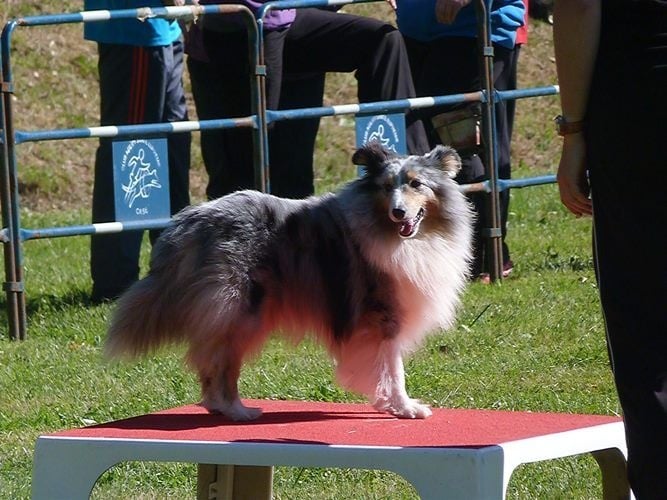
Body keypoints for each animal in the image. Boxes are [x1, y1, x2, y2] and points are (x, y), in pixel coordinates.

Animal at [105, 143, 474, 420]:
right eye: (386, 188)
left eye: (416, 184)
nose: (398, 212)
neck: (402, 236)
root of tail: (187, 222)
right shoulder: (382, 314)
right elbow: (393, 367)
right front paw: (404, 407)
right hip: (238, 311)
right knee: (221, 364)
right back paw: (238, 411)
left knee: (209, 360)